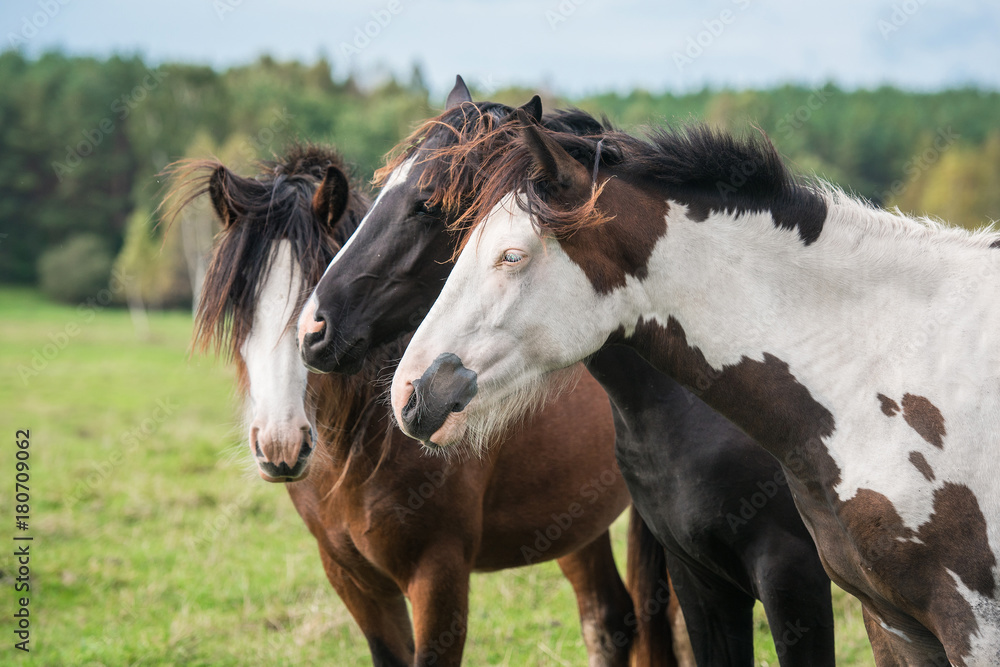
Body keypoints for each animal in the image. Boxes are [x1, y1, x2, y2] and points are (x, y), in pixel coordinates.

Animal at [165, 145, 681, 667]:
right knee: (606, 620)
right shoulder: (353, 581)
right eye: (240, 302)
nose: (280, 444)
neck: (360, 452)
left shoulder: (437, 574)